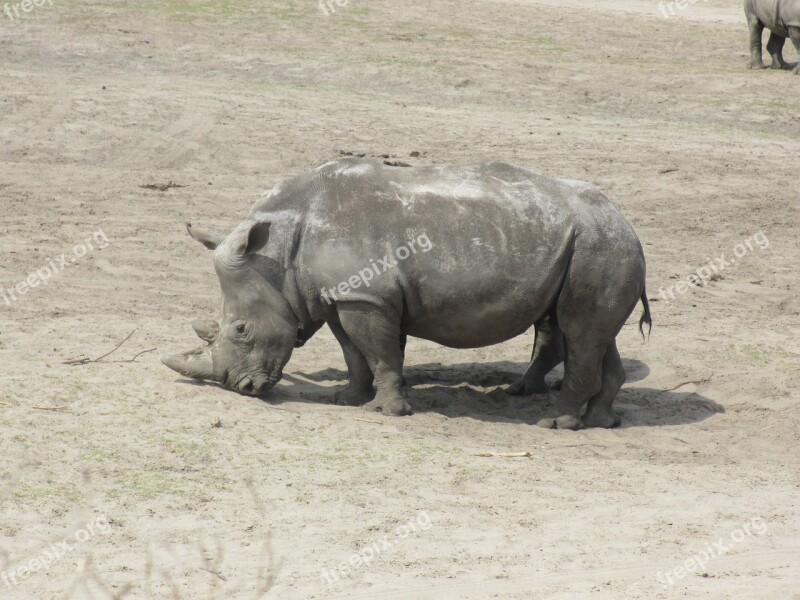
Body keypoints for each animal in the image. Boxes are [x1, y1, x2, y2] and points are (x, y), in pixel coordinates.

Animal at [161, 161, 648, 426]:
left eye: (241, 329)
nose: (240, 387)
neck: (278, 254)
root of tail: (627, 222)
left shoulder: (365, 296)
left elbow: (378, 353)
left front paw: (386, 411)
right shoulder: (344, 295)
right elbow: (354, 353)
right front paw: (348, 400)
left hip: (600, 247)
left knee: (580, 330)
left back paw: (555, 422)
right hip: (596, 247)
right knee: (591, 333)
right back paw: (601, 421)